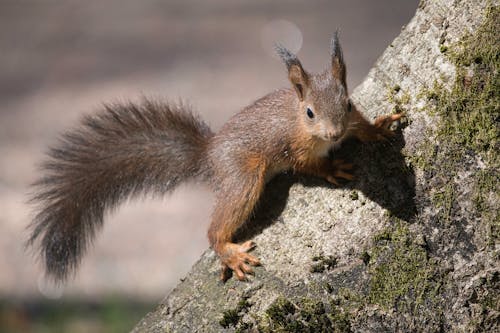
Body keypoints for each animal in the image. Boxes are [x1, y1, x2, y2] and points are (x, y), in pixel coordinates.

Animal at [26, 33, 402, 282]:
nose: (334, 134)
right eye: (309, 112)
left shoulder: (350, 120)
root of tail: (208, 154)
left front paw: (379, 129)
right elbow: (309, 165)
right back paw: (228, 252)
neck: (301, 123)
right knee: (216, 227)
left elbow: (363, 127)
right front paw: (333, 166)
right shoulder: (294, 147)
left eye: (348, 104)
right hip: (243, 176)